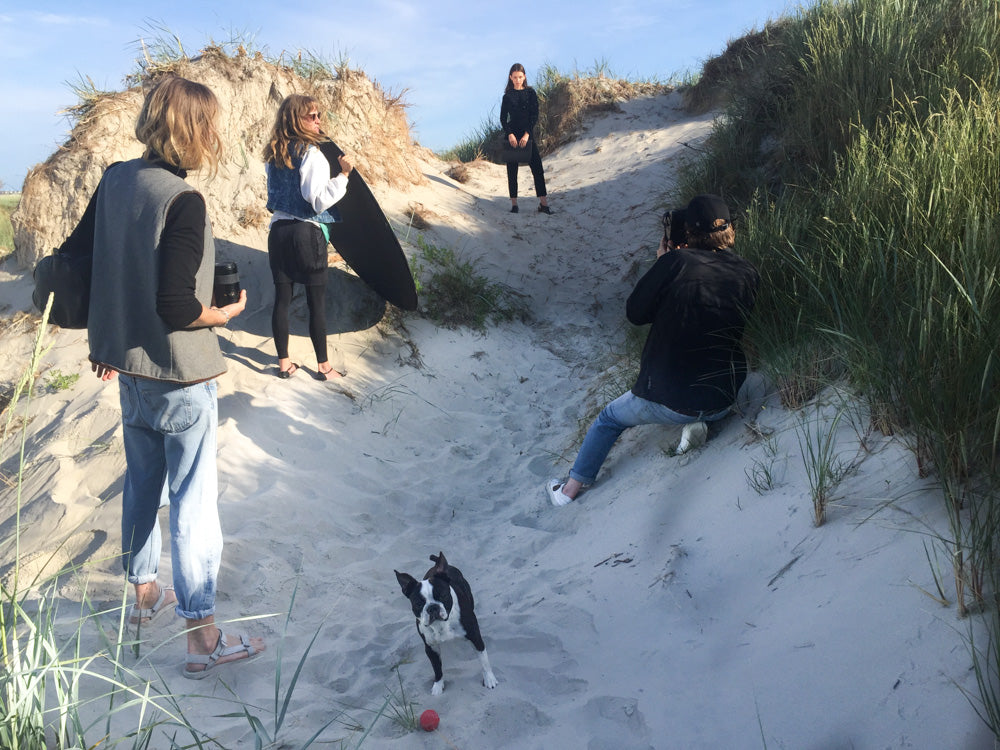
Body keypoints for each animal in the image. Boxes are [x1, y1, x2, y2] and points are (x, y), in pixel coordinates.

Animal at [392, 552, 498, 700]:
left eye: (443, 595)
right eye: (418, 603)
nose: (432, 607)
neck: (441, 624)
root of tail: (437, 563)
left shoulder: (475, 637)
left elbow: (484, 660)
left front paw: (489, 679)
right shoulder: (431, 648)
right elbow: (437, 668)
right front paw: (437, 685)